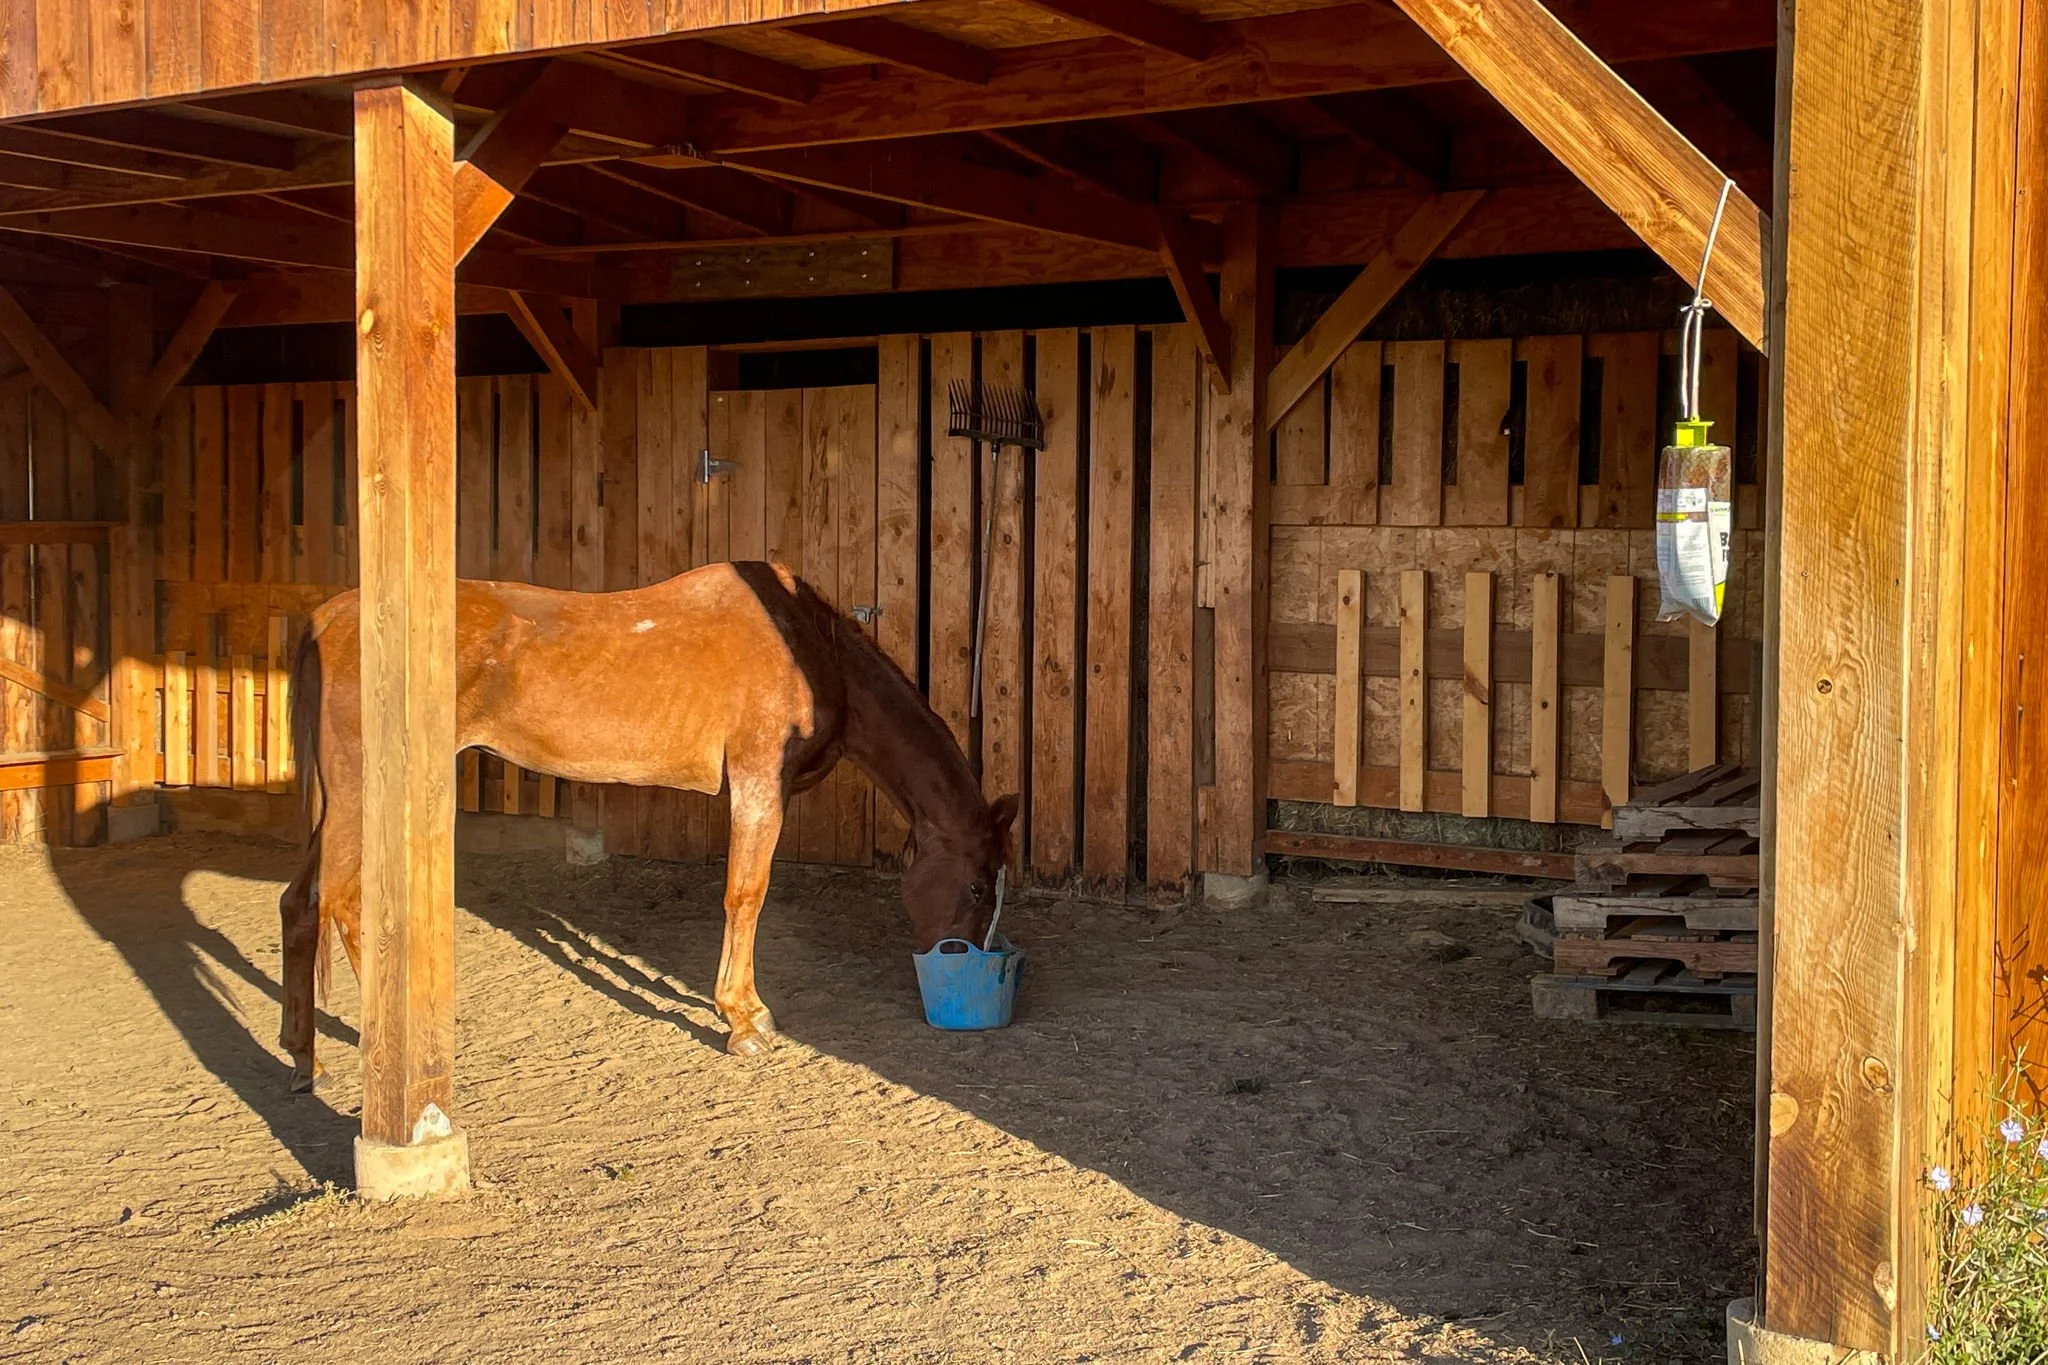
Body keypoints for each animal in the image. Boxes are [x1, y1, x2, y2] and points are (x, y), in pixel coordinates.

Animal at [278, 560, 1018, 1090]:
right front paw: (742, 1020)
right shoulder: (758, 783)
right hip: (362, 795)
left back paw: (307, 1058)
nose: (963, 956)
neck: (813, 651)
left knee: (303, 905)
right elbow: (745, 896)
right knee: (338, 901)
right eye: (978, 885)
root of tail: (324, 619)